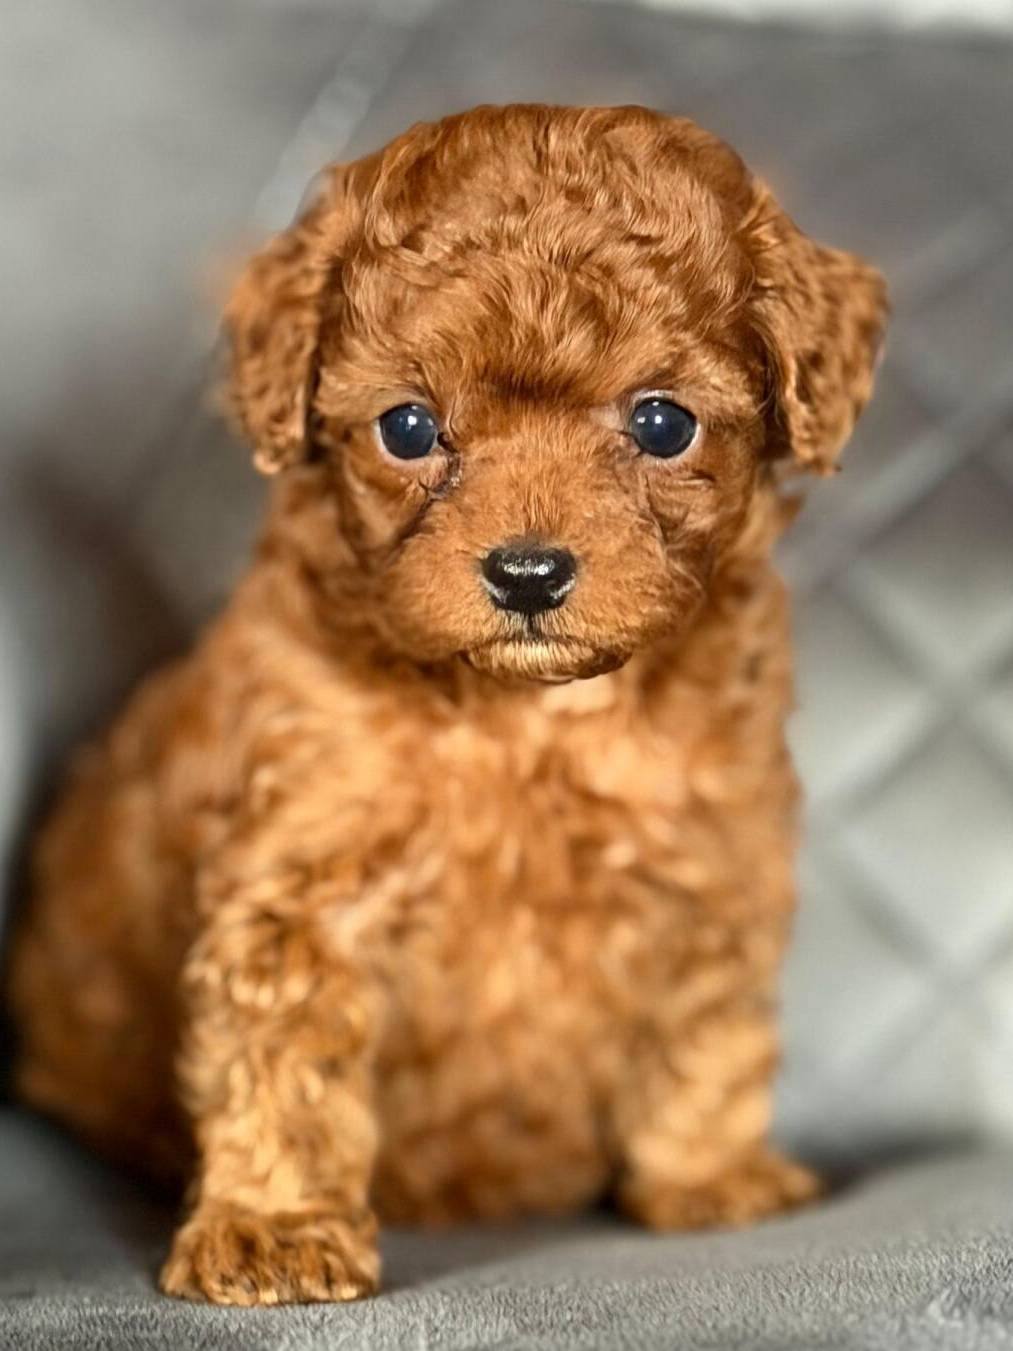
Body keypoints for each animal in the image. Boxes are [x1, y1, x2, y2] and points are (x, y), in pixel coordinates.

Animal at [7, 104, 887, 1305]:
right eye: (409, 428)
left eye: (663, 424)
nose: (526, 572)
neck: (524, 722)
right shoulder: (303, 881)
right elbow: (284, 1060)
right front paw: (274, 1227)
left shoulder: (711, 856)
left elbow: (707, 1029)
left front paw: (709, 1175)